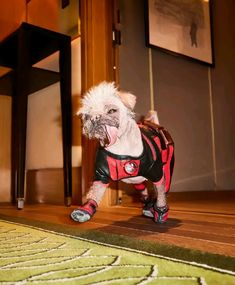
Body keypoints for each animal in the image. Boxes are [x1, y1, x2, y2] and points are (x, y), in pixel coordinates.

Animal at [70, 81, 173, 223]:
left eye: (112, 110)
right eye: (86, 116)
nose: (95, 118)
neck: (119, 146)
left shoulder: (157, 174)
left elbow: (161, 194)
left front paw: (161, 210)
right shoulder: (101, 176)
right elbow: (95, 193)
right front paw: (86, 208)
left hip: (166, 170)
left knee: (163, 190)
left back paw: (154, 207)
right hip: (137, 182)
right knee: (144, 192)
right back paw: (147, 205)